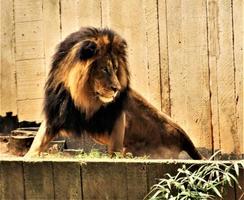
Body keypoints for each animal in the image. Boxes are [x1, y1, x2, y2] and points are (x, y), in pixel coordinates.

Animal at [25, 27, 203, 159]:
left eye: (116, 68)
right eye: (104, 69)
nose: (117, 88)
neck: (85, 98)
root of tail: (187, 141)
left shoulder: (119, 118)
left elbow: (114, 148)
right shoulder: (57, 114)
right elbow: (38, 140)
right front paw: (29, 156)